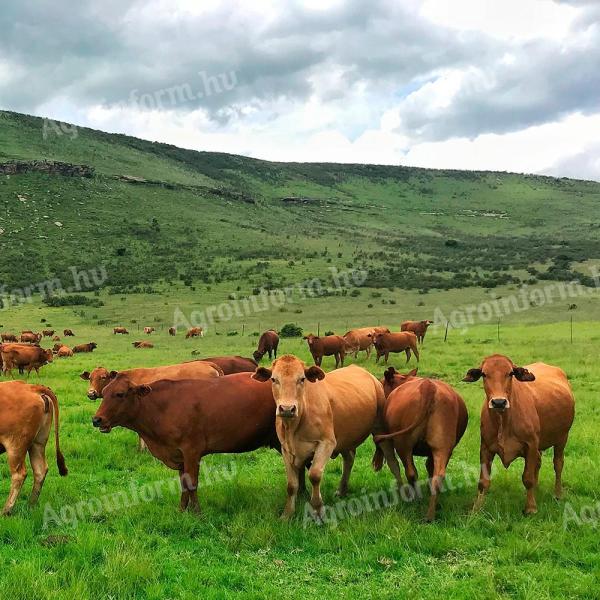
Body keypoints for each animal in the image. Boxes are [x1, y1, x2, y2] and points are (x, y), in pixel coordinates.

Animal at [0, 384, 68, 516]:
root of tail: (30, 387)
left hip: (15, 445)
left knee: (19, 474)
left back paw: (6, 510)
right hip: (38, 442)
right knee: (40, 470)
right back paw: (31, 504)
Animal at [91, 372, 278, 508]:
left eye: (120, 394)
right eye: (104, 393)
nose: (96, 419)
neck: (161, 409)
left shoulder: (192, 451)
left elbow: (192, 483)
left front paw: (197, 512)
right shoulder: (178, 454)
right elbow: (183, 484)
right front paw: (182, 510)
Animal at [251, 356, 400, 520]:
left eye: (302, 379)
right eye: (273, 379)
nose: (287, 409)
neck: (296, 424)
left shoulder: (327, 443)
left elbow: (315, 475)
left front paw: (318, 510)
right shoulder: (286, 448)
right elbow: (291, 484)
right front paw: (287, 514)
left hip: (380, 429)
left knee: (392, 460)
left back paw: (401, 489)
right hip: (344, 437)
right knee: (349, 459)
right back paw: (342, 490)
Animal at [376, 366, 468, 520]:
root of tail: (428, 386)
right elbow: (430, 467)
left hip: (403, 444)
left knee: (411, 473)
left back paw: (416, 501)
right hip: (443, 446)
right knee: (438, 476)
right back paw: (430, 514)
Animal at [464, 356, 576, 516]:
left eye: (510, 373)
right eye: (484, 374)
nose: (499, 402)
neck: (504, 421)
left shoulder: (531, 445)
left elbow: (527, 478)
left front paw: (531, 508)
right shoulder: (485, 448)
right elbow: (483, 482)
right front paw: (476, 509)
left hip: (562, 438)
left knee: (558, 464)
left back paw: (558, 494)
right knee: (539, 462)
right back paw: (537, 488)